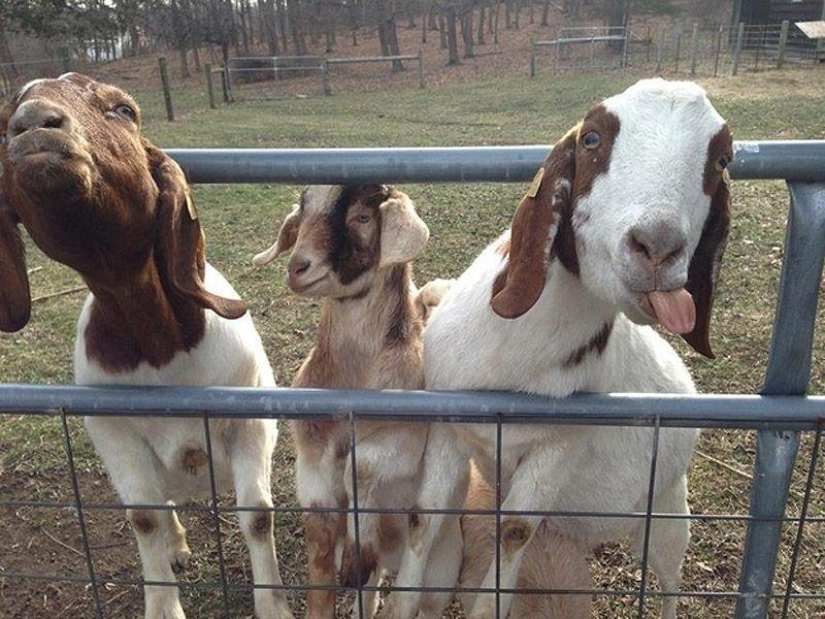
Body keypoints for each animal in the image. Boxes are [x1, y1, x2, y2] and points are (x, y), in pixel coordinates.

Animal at [0, 73, 292, 619]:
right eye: (5, 116)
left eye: (123, 110)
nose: (31, 125)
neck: (161, 347)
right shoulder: (114, 434)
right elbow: (144, 518)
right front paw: (163, 600)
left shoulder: (251, 423)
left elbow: (257, 515)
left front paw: (275, 607)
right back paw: (176, 547)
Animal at [253, 185, 461, 619]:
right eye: (303, 209)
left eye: (364, 217)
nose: (297, 267)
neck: (355, 379)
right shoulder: (310, 449)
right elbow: (319, 532)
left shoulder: (407, 442)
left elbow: (358, 463)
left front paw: (355, 548)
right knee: (373, 583)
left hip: (443, 564)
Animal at [421, 78, 733, 619]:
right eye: (591, 139)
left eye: (721, 159)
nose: (657, 247)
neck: (509, 365)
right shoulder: (446, 426)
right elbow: (423, 524)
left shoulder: (556, 447)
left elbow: (512, 534)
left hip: (669, 514)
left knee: (669, 583)